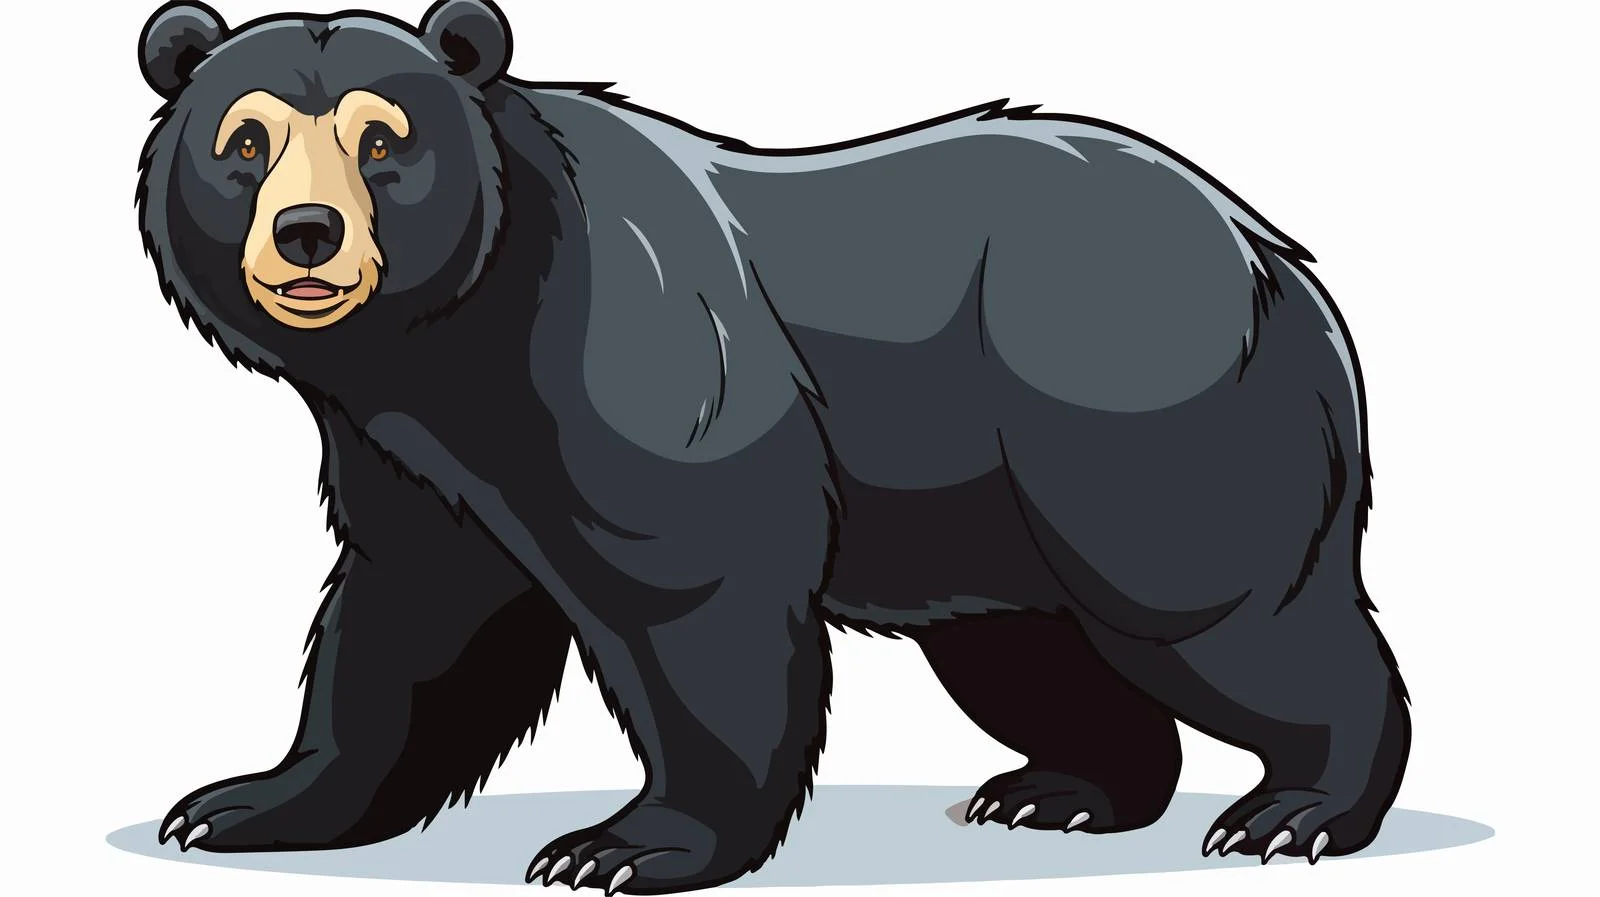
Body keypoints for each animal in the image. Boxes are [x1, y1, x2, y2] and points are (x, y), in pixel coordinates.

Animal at [136, 0, 1411, 892]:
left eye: (383, 141)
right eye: (244, 140)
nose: (309, 233)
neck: (454, 341)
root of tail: (1275, 256)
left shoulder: (632, 364)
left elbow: (698, 597)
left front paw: (622, 844)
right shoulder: (413, 452)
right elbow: (407, 623)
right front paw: (240, 802)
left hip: (1140, 419)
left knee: (1219, 607)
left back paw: (1294, 809)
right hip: (984, 500)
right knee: (1024, 647)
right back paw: (1059, 789)